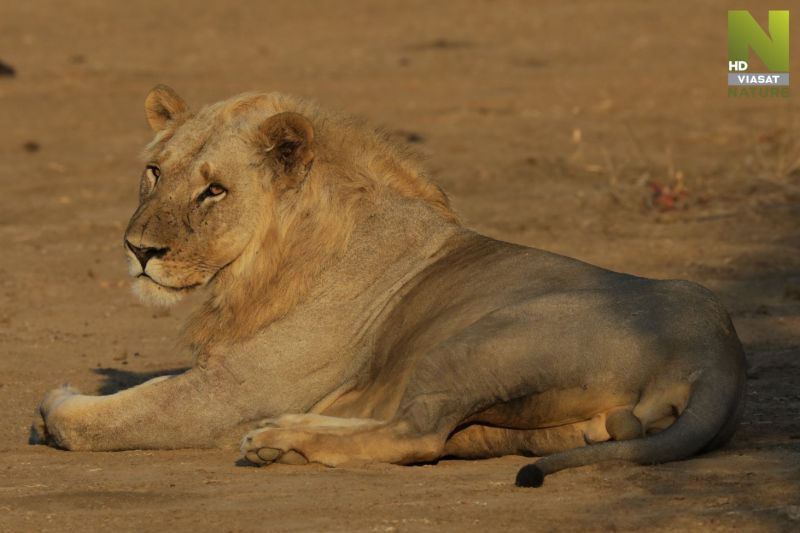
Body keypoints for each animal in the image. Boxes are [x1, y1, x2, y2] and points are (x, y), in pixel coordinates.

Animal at [29, 84, 744, 486]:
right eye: (154, 172)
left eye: (214, 190)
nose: (138, 250)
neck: (267, 263)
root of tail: (719, 350)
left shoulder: (235, 392)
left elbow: (112, 415)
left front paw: (57, 405)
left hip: (477, 341)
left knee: (419, 436)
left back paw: (277, 440)